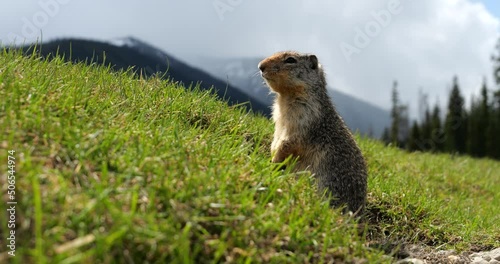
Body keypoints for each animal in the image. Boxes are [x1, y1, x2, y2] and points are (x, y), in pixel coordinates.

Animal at [258, 51, 368, 214]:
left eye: (290, 60)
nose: (260, 66)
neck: (286, 97)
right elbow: (276, 138)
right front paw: (271, 154)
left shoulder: (305, 119)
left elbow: (288, 143)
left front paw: (274, 161)